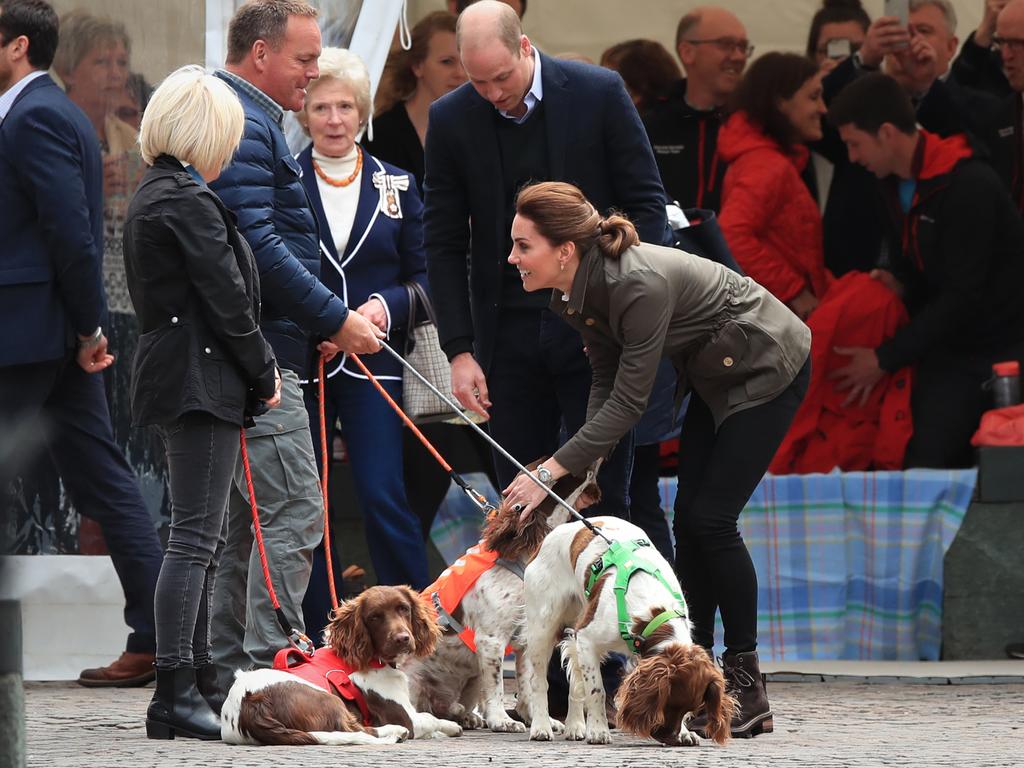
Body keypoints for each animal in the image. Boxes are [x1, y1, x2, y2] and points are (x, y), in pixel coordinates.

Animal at [226, 589, 466, 745]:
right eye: (374, 617)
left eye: (404, 608)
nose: (402, 639)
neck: (372, 657)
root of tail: (250, 707)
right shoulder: (407, 717)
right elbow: (430, 718)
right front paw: (451, 726)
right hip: (328, 699)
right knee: (358, 730)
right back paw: (396, 732)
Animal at [403, 462, 598, 733]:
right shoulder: (491, 640)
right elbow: (497, 686)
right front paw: (502, 720)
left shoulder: (528, 637)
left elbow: (529, 684)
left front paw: (538, 719)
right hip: (411, 681)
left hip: (471, 682)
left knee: (454, 708)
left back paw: (468, 716)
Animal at [524, 518, 733, 745]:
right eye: (667, 703)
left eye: (689, 709)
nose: (671, 738)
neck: (653, 611)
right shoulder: (587, 640)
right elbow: (596, 689)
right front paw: (598, 731)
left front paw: (685, 732)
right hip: (542, 628)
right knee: (538, 682)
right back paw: (541, 727)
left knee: (575, 681)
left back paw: (575, 726)